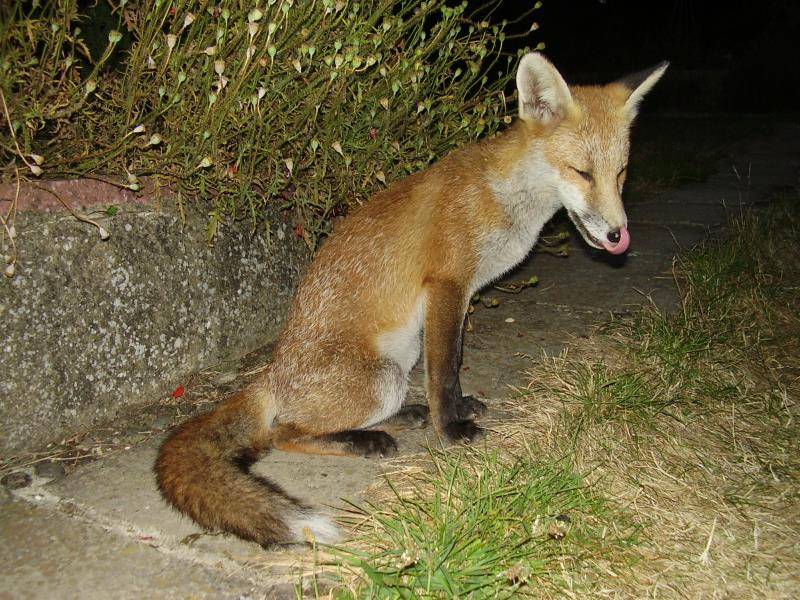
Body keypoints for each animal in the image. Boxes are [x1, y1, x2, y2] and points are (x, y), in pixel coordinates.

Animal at [153, 54, 664, 548]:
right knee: (284, 433)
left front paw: (457, 410)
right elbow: (444, 370)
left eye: (620, 173)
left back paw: (401, 419)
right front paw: (450, 429)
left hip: (399, 360)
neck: (503, 199)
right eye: (582, 172)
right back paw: (365, 441)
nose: (618, 236)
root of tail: (270, 373)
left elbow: (453, 369)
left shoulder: (463, 294)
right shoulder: (446, 284)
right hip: (382, 377)